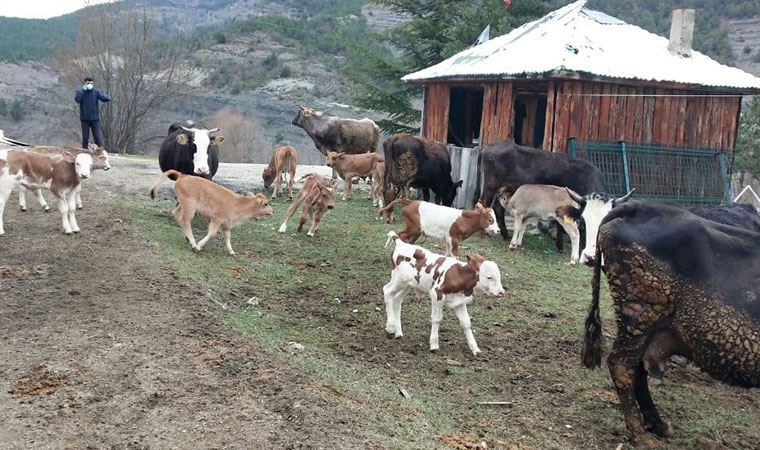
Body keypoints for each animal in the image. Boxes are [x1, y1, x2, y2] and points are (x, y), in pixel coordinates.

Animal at [580, 203, 760, 446]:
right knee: (621, 365)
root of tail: (640, 207)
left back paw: (657, 424)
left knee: (638, 368)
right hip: (639, 314)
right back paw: (639, 433)